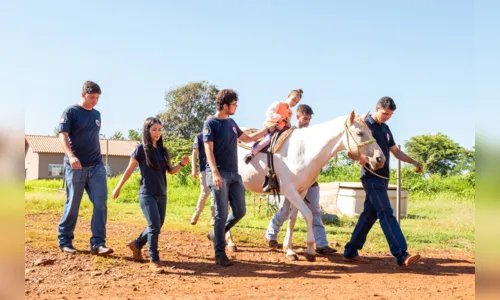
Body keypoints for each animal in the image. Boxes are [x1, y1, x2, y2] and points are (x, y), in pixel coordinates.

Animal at [233, 111, 382, 262]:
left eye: (371, 132)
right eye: (359, 133)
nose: (380, 159)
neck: (305, 151)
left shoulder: (301, 191)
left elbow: (292, 219)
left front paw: (289, 250)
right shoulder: (290, 190)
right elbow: (308, 215)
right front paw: (310, 249)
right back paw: (231, 244)